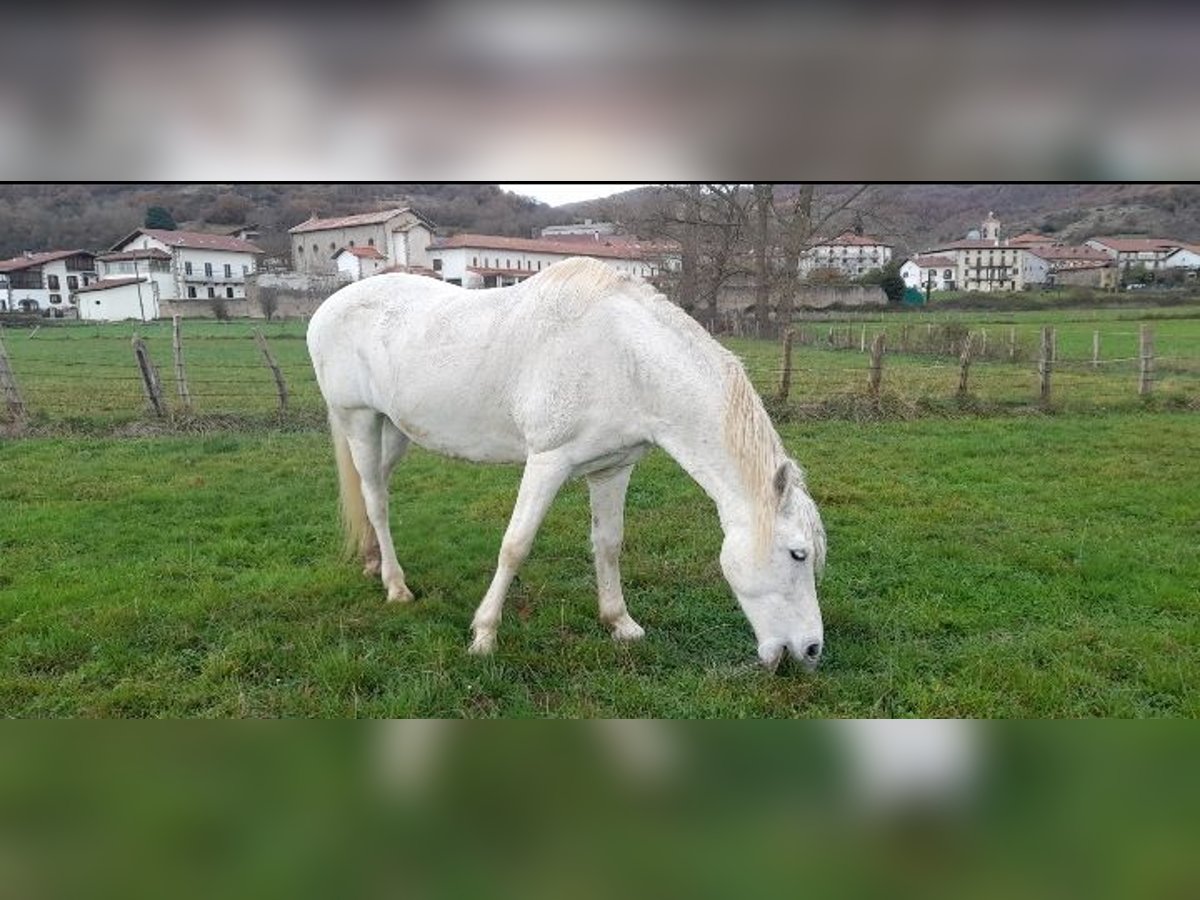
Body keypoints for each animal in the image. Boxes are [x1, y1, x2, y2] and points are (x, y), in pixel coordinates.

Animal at [306, 256, 826, 672]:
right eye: (797, 554)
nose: (811, 650)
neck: (625, 358)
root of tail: (326, 308)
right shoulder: (548, 462)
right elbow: (515, 546)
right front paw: (484, 635)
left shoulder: (613, 468)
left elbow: (609, 544)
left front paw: (620, 623)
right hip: (359, 421)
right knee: (376, 501)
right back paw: (396, 587)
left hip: (394, 429)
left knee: (376, 491)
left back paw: (373, 563)